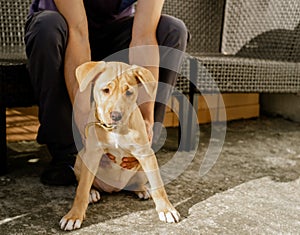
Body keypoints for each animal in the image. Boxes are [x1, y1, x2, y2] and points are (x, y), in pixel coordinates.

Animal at [59, 61, 179, 230]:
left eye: (129, 93)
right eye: (106, 90)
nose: (116, 116)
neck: (116, 130)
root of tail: (114, 189)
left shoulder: (145, 154)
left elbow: (158, 185)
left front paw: (167, 210)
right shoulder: (92, 154)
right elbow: (81, 189)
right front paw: (74, 216)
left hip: (141, 169)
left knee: (139, 182)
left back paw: (142, 189)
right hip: (81, 159)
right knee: (86, 183)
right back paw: (92, 193)